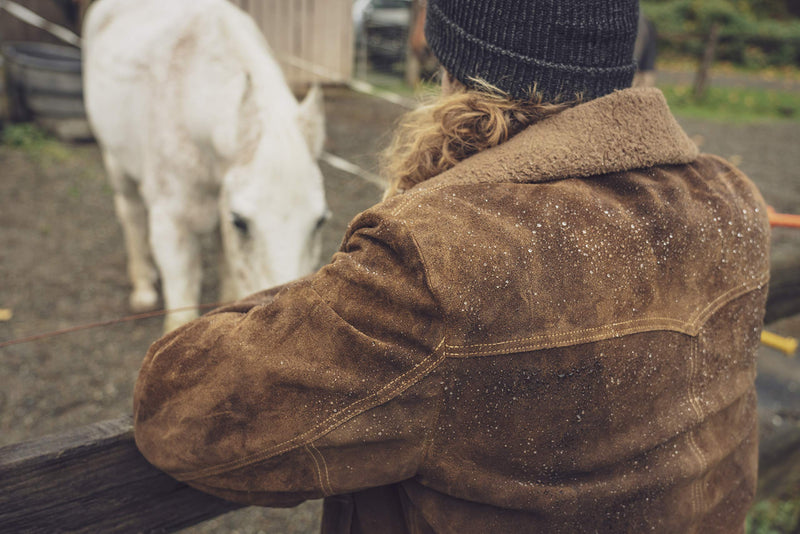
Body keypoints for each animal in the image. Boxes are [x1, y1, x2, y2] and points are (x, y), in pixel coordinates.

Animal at [82, 0, 328, 332]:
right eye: (240, 222)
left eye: (319, 221)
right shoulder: (174, 228)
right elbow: (182, 314)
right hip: (116, 163)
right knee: (131, 214)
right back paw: (143, 287)